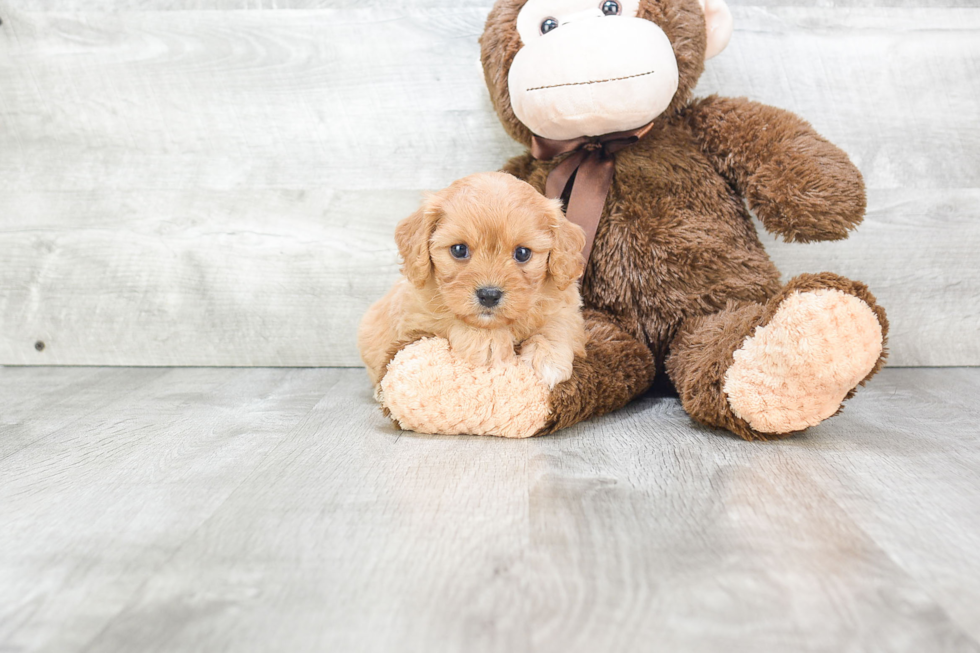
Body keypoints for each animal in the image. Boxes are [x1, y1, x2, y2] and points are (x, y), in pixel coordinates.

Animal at [360, 171, 588, 390]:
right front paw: (487, 341)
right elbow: (448, 316)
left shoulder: (565, 302)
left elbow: (558, 322)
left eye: (523, 253)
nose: (489, 295)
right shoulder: (415, 315)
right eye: (459, 249)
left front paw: (548, 355)